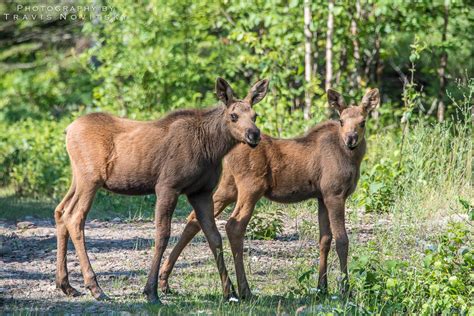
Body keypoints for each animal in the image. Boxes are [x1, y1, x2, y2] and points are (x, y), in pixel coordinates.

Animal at [53, 77, 268, 304]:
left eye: (255, 115)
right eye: (233, 116)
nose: (254, 134)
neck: (212, 148)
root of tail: (68, 129)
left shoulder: (201, 192)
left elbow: (214, 237)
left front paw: (229, 292)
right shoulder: (167, 186)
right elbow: (162, 235)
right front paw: (151, 291)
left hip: (77, 179)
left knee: (60, 211)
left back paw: (66, 285)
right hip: (90, 179)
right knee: (75, 217)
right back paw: (95, 287)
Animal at [160, 87, 382, 298]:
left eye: (363, 122)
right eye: (341, 121)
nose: (351, 139)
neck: (352, 159)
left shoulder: (322, 196)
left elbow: (324, 240)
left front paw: (322, 287)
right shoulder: (335, 194)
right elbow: (342, 240)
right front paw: (345, 289)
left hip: (228, 187)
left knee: (194, 219)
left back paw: (164, 279)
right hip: (251, 187)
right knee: (233, 226)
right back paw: (244, 290)